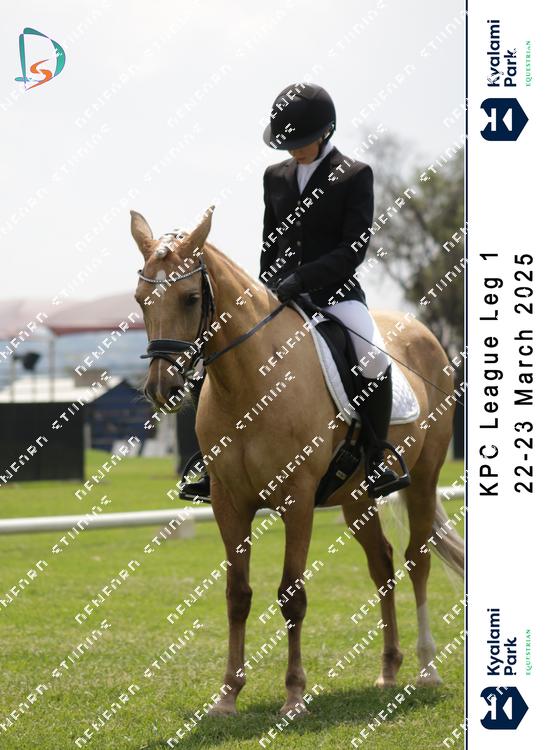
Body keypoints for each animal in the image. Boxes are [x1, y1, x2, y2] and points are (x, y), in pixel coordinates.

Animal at [131, 206, 464, 717]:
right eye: (140, 299)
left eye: (190, 298)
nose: (160, 389)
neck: (250, 383)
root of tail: (423, 332)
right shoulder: (228, 504)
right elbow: (237, 595)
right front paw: (227, 696)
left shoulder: (297, 500)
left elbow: (292, 596)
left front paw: (294, 695)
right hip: (356, 496)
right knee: (383, 565)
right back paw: (389, 669)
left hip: (424, 480)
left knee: (416, 560)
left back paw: (427, 669)